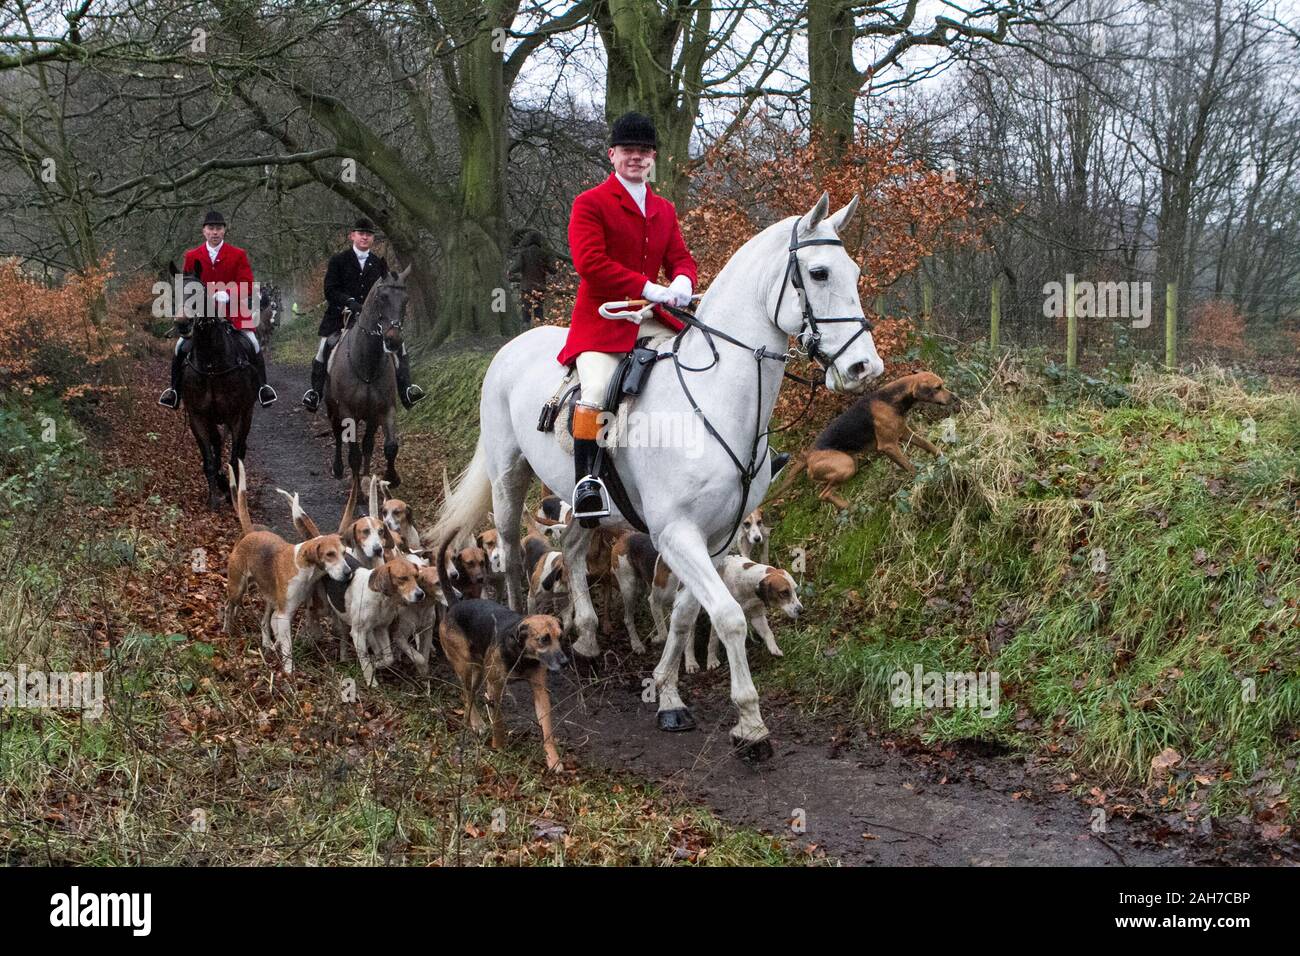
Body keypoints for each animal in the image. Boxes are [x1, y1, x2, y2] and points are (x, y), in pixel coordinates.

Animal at [170, 261, 256, 509]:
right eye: (173, 294)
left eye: (198, 293)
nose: (183, 324)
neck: (211, 365)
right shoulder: (198, 417)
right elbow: (209, 457)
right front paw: (214, 497)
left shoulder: (238, 416)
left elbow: (234, 457)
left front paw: (232, 495)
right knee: (217, 445)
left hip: (246, 414)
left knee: (239, 450)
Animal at [325, 261, 410, 486]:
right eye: (382, 297)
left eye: (406, 300)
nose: (393, 340)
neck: (367, 365)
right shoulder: (347, 412)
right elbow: (353, 453)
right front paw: (357, 489)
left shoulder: (385, 409)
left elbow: (389, 446)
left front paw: (391, 477)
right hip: (333, 409)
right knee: (338, 435)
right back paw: (339, 469)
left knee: (368, 444)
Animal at [428, 195, 883, 759]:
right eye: (819, 273)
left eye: (855, 272)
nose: (865, 368)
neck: (716, 399)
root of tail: (516, 343)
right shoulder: (677, 533)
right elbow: (728, 616)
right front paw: (750, 724)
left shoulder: (714, 537)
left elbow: (687, 615)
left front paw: (667, 692)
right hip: (508, 476)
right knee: (511, 555)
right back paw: (519, 634)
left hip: (586, 503)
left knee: (572, 551)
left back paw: (587, 635)